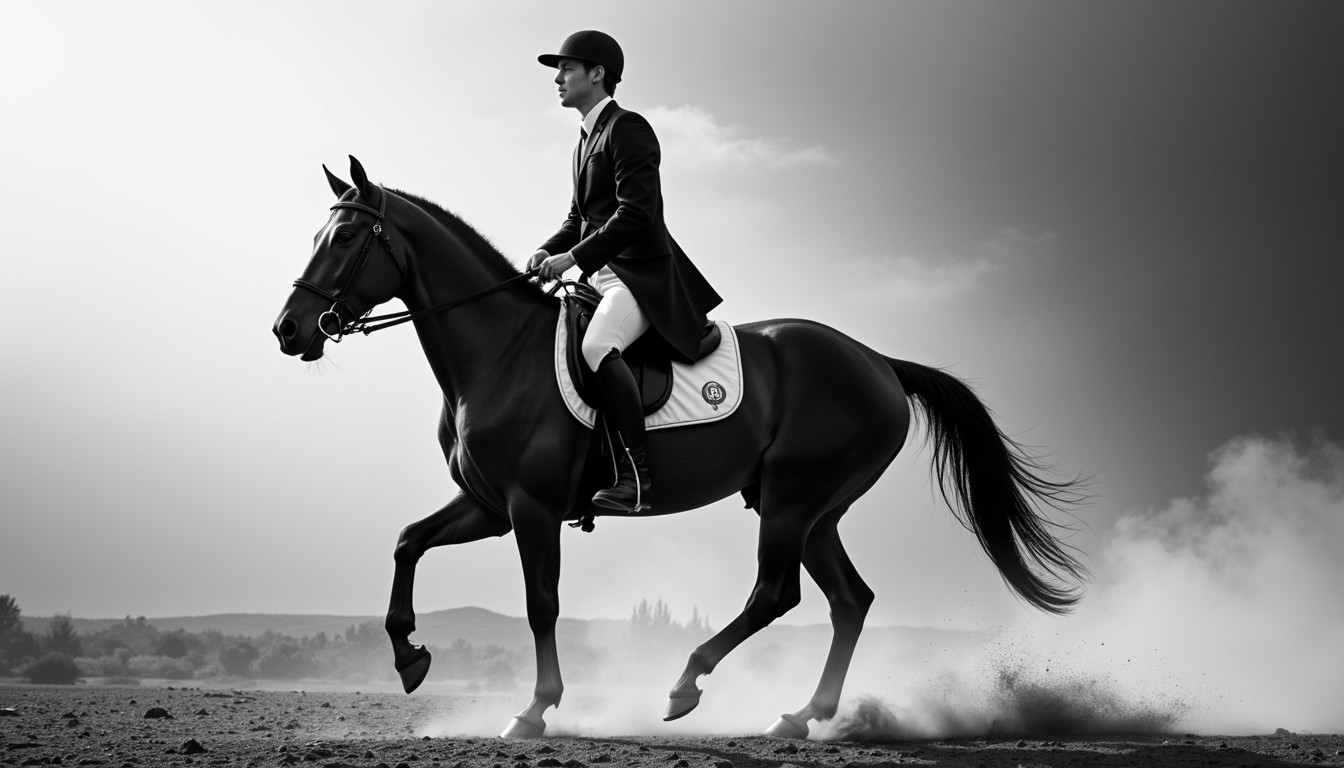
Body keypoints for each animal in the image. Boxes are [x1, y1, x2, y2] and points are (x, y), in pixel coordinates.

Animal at [273, 156, 1088, 740]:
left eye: (344, 238)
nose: (289, 330)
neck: (497, 352)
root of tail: (879, 363)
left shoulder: (530, 507)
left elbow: (541, 602)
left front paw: (534, 710)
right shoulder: (489, 505)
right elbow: (408, 542)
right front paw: (409, 657)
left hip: (793, 499)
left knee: (776, 593)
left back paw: (685, 685)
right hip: (815, 508)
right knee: (848, 601)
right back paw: (800, 716)